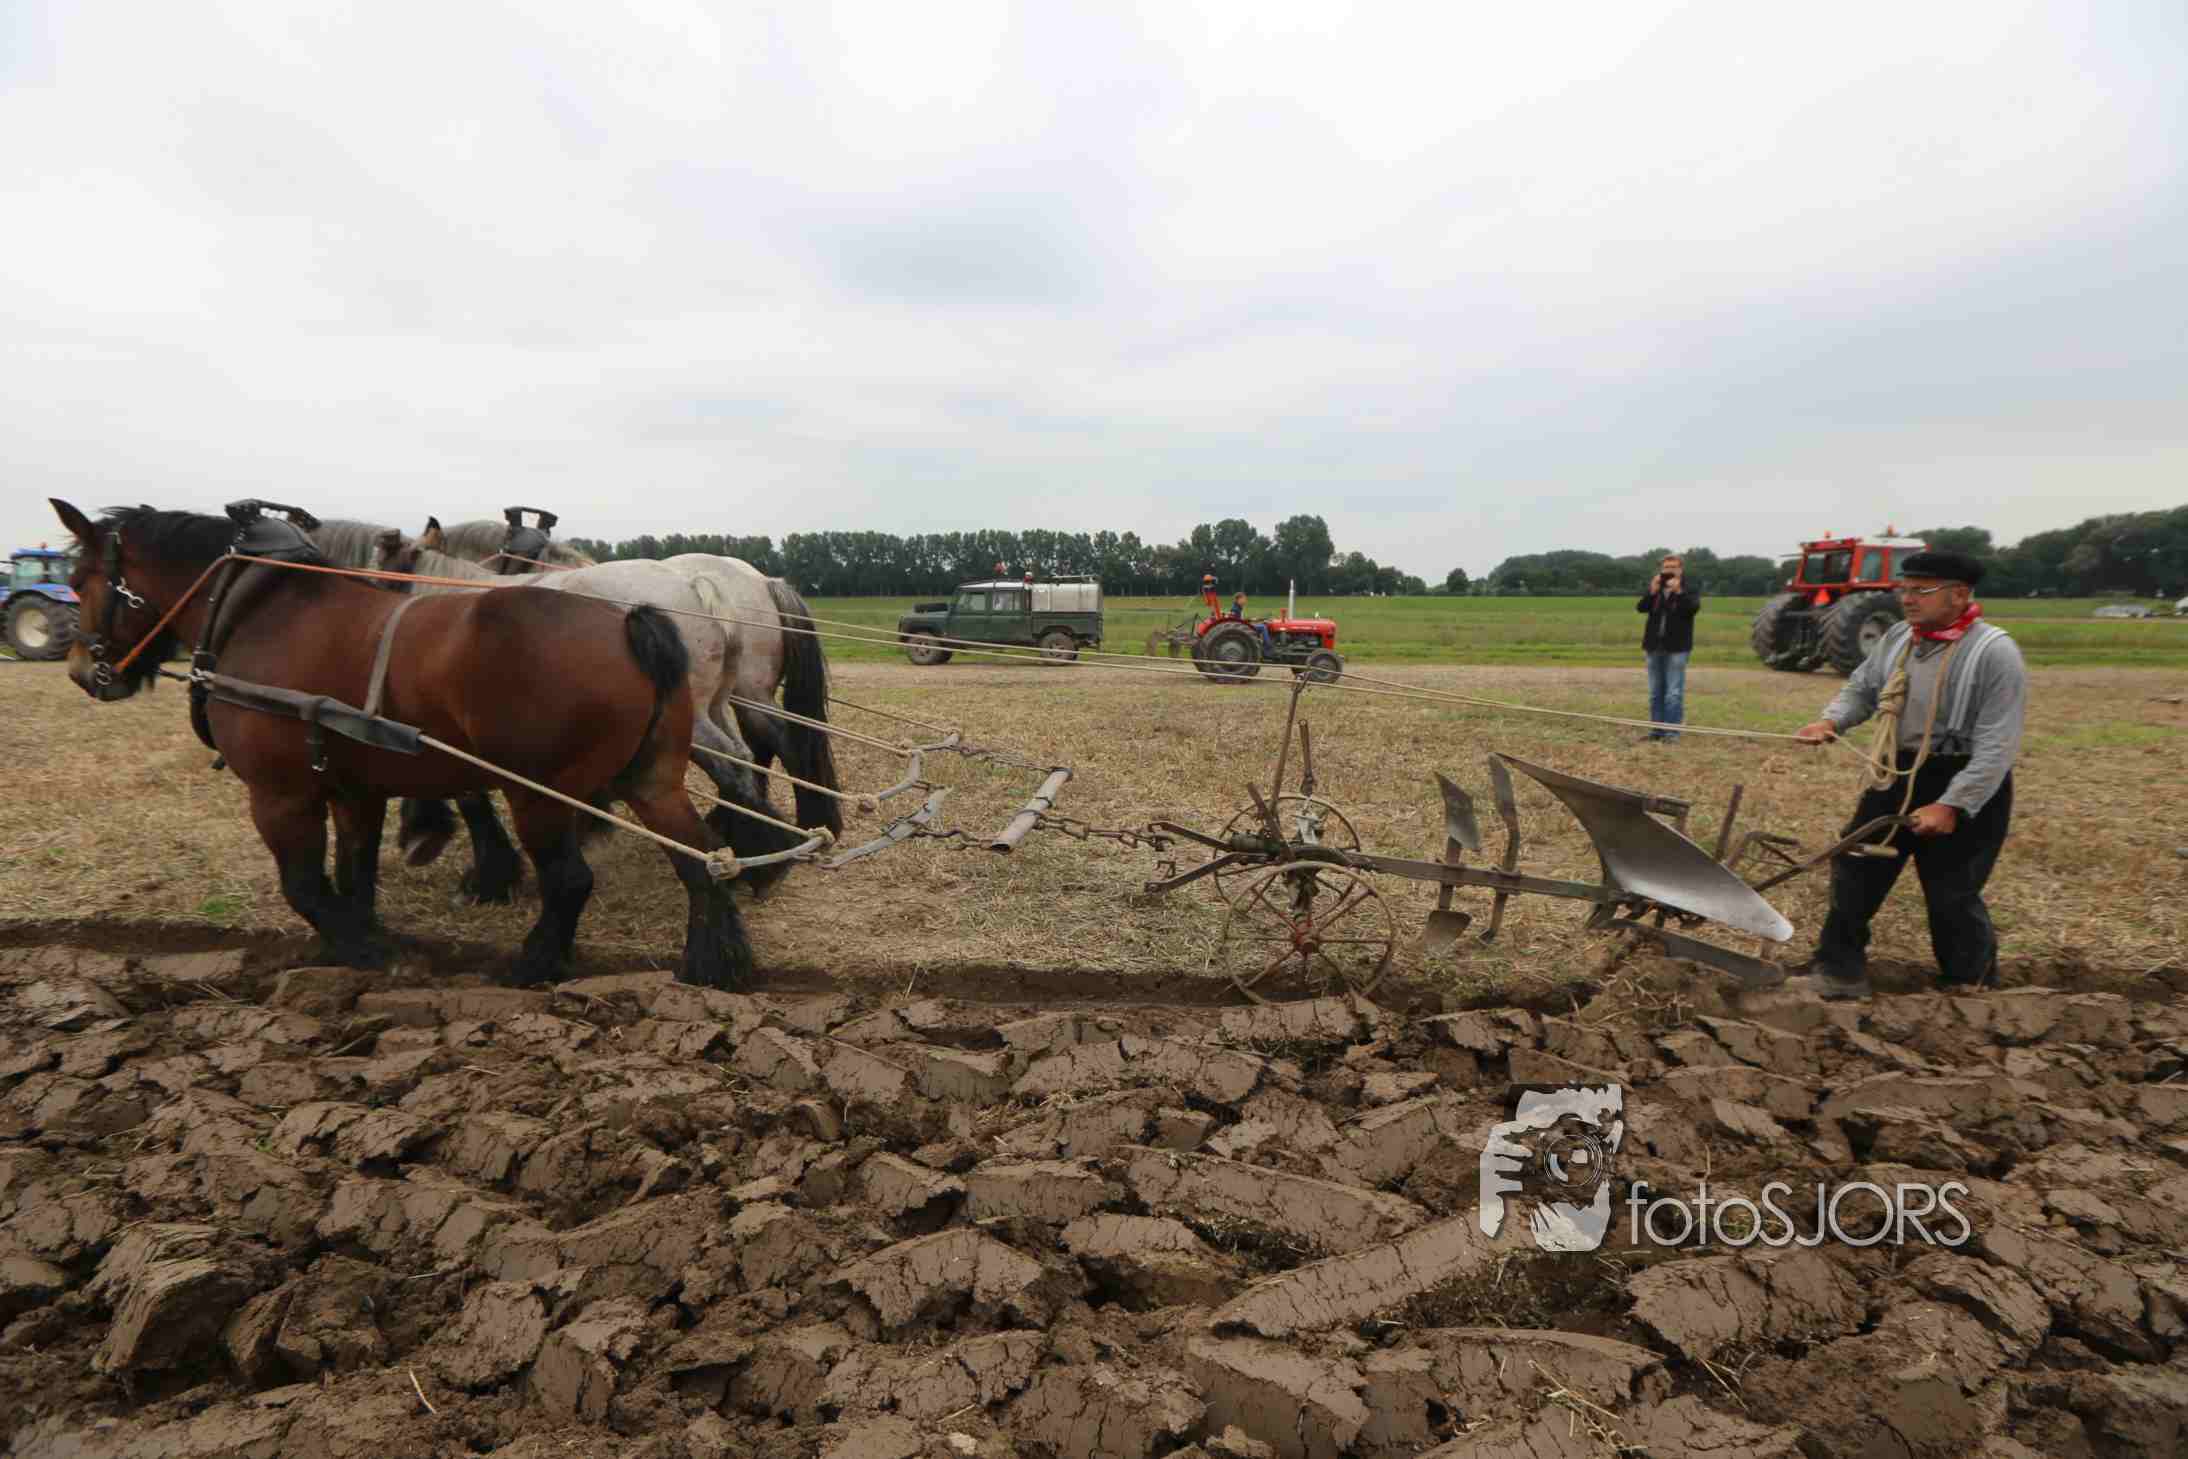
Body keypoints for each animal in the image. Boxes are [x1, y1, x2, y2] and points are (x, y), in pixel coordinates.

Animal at [48, 498, 797, 988]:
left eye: (80, 579)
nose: (81, 671)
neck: (258, 610)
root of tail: (633, 620)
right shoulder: (352, 785)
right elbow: (355, 871)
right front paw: (370, 932)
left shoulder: (280, 792)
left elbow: (305, 886)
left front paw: (371, 948)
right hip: (652, 775)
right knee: (701, 856)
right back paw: (716, 957)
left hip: (540, 790)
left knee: (572, 879)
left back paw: (532, 964)